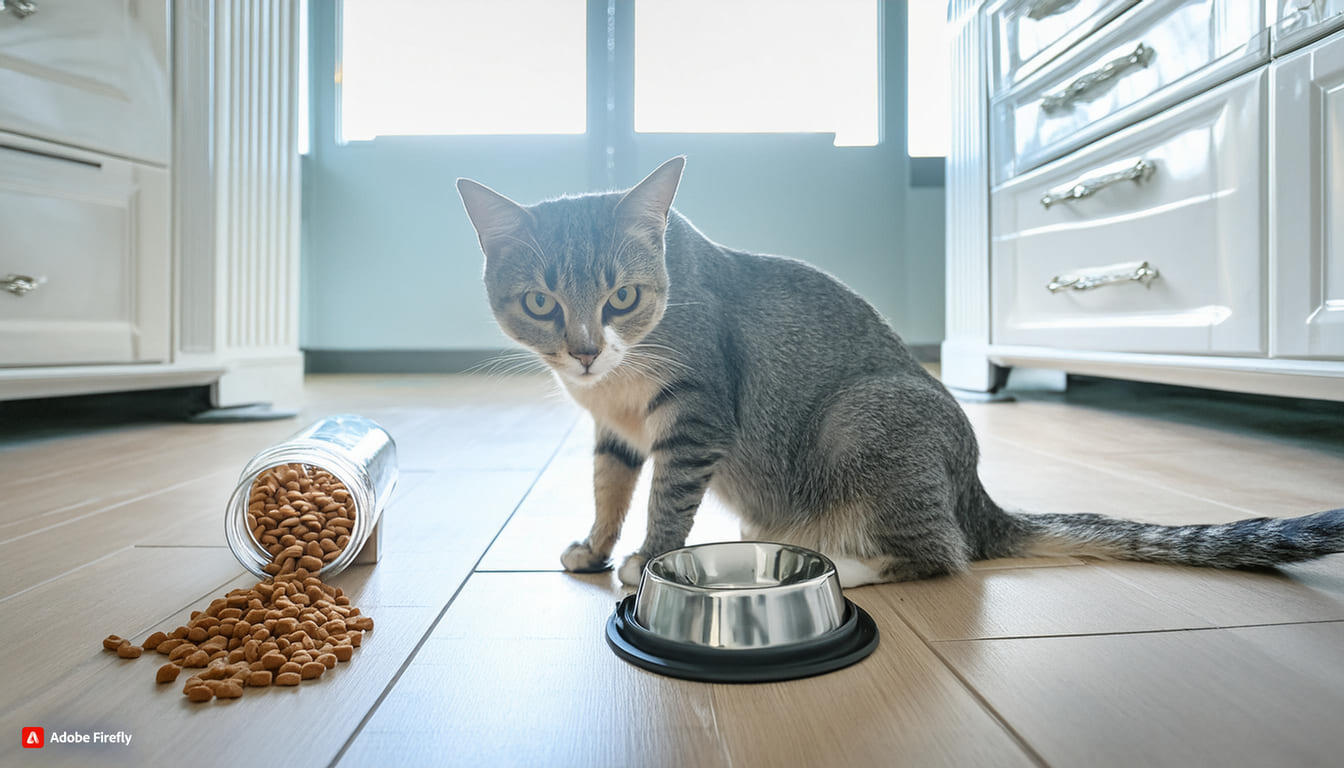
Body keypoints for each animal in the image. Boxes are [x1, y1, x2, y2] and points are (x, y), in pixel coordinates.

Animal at [459, 158, 1344, 589]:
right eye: (539, 302)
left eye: (623, 296)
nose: (583, 349)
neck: (616, 379)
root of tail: (976, 496)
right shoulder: (612, 426)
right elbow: (610, 484)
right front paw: (596, 545)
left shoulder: (698, 411)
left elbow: (669, 497)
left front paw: (647, 558)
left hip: (870, 419)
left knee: (941, 557)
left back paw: (848, 568)